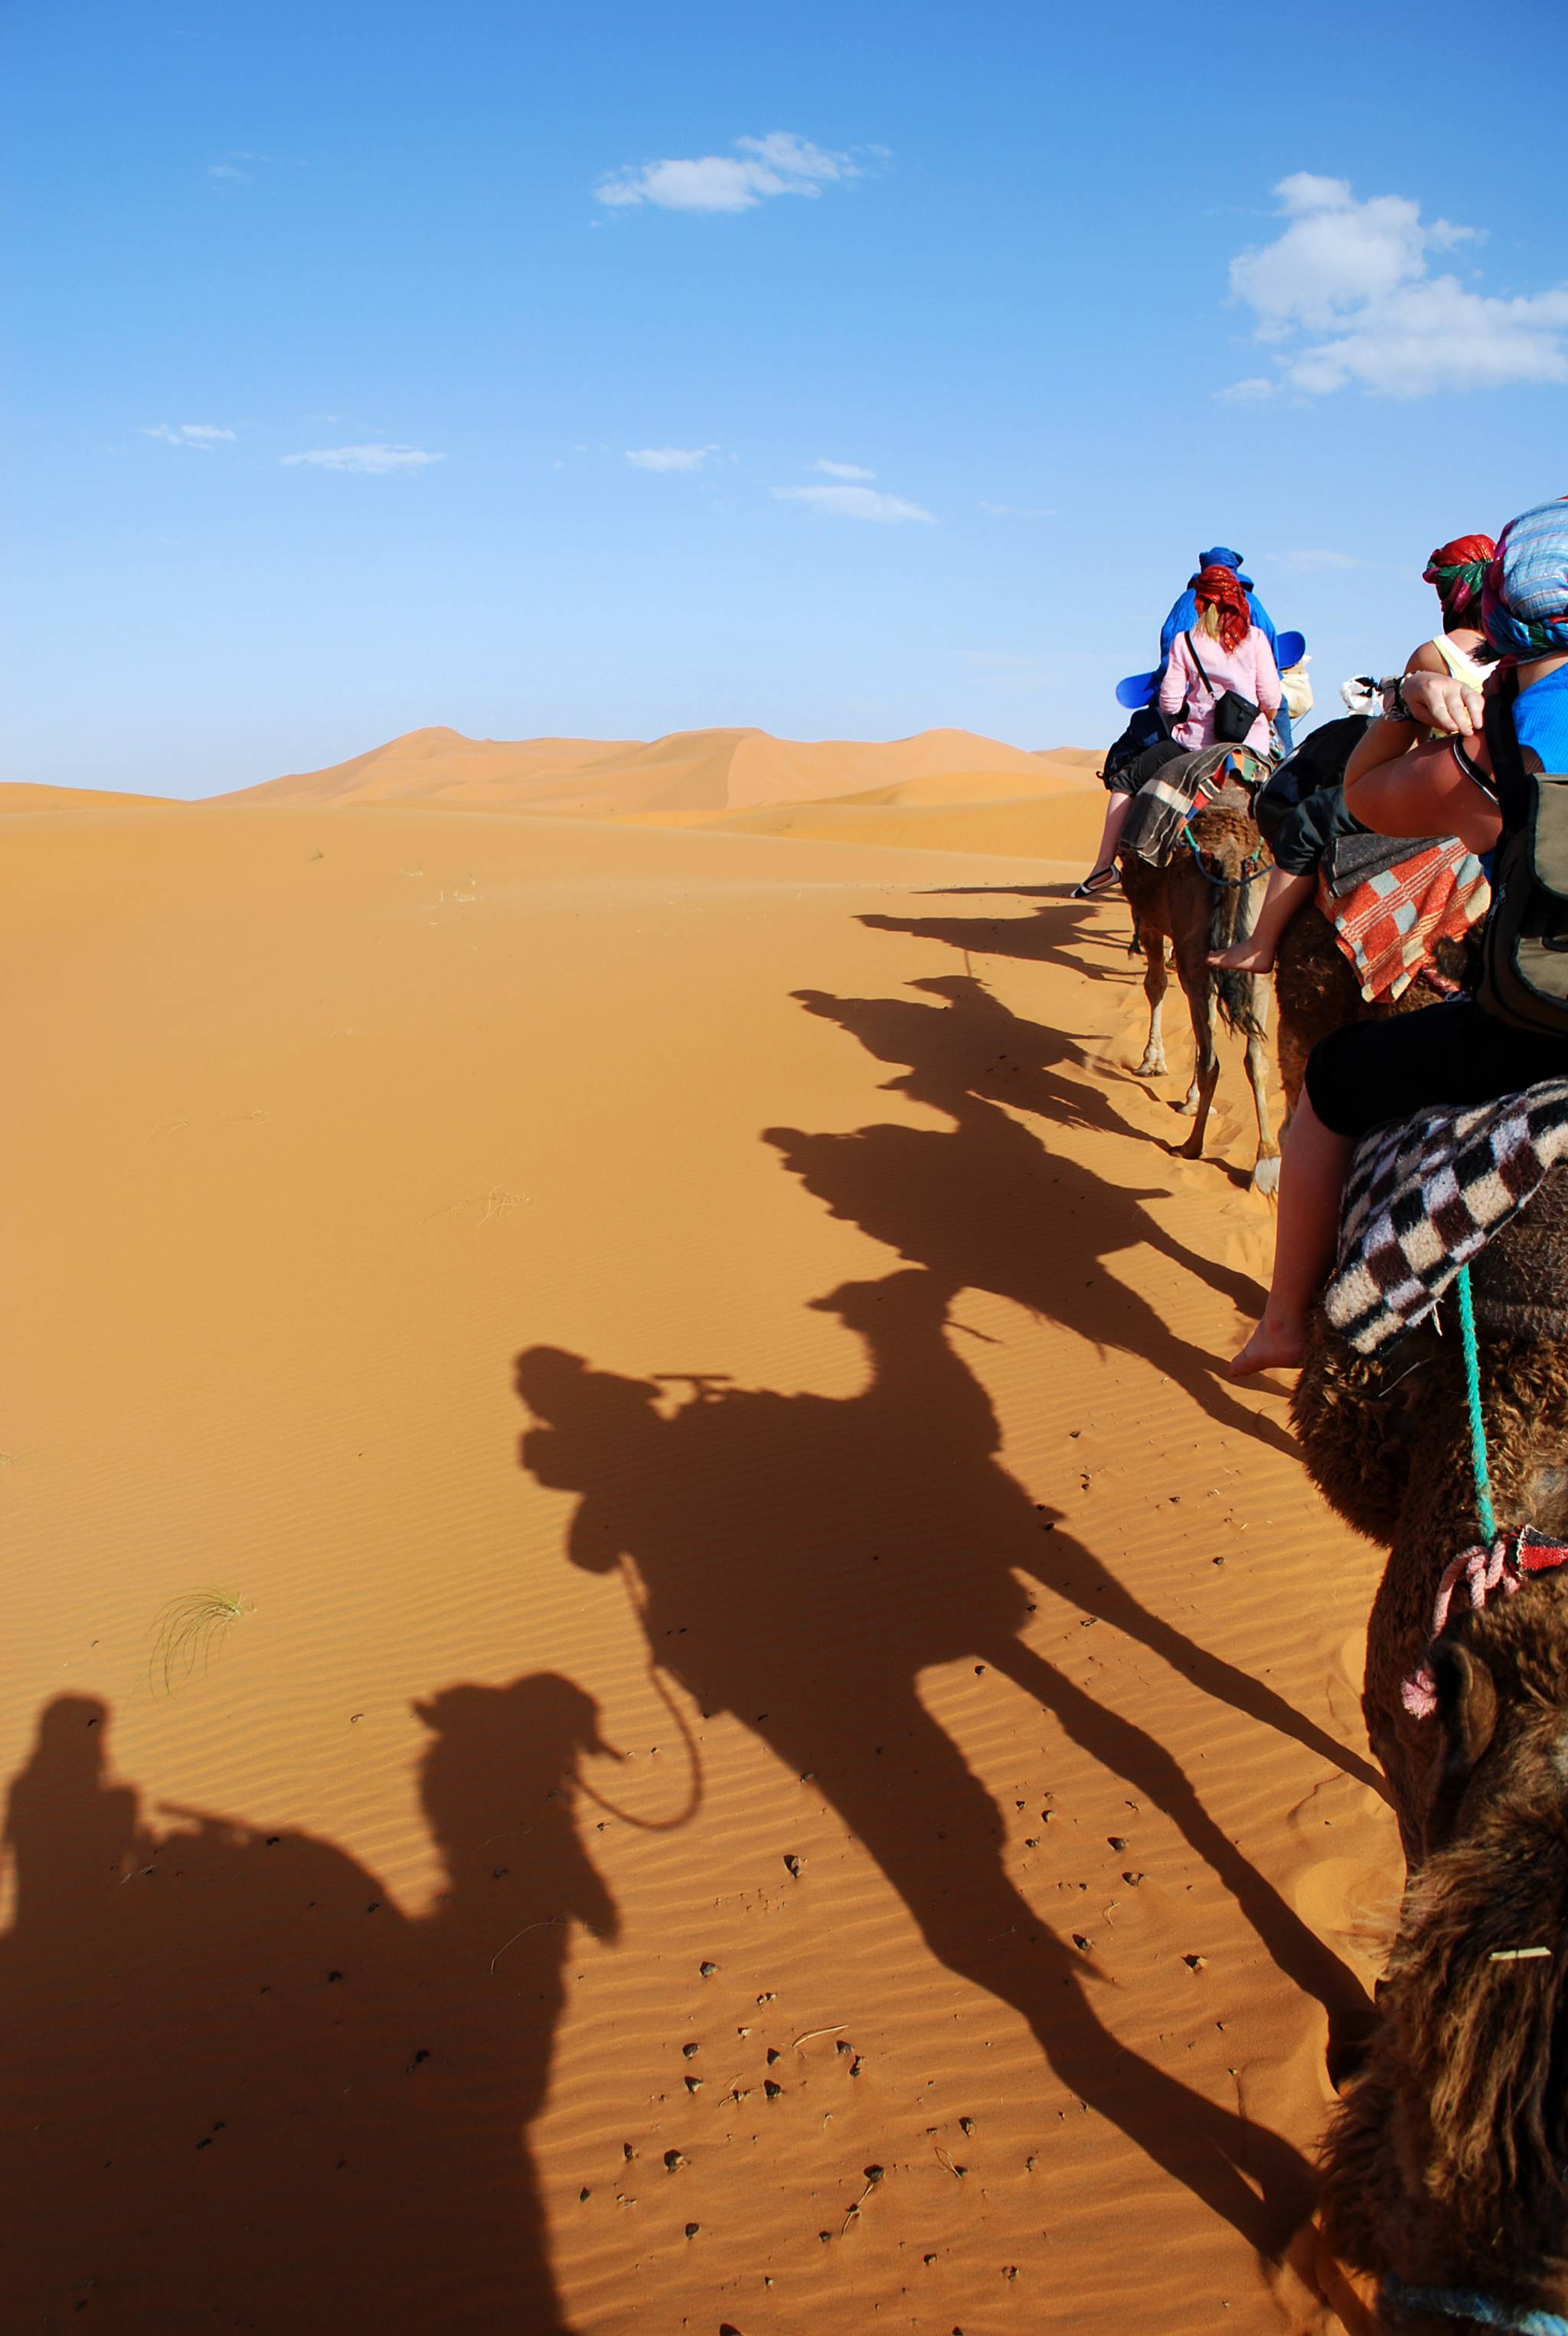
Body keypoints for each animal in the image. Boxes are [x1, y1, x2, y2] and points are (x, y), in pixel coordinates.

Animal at [1112, 775, 1280, 1196]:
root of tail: (1234, 854)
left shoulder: (1150, 919)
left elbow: (1155, 985)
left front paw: (1152, 1062)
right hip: (1257, 958)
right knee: (1256, 1057)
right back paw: (1267, 1161)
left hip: (1195, 954)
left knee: (1211, 1059)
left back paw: (1191, 1145)